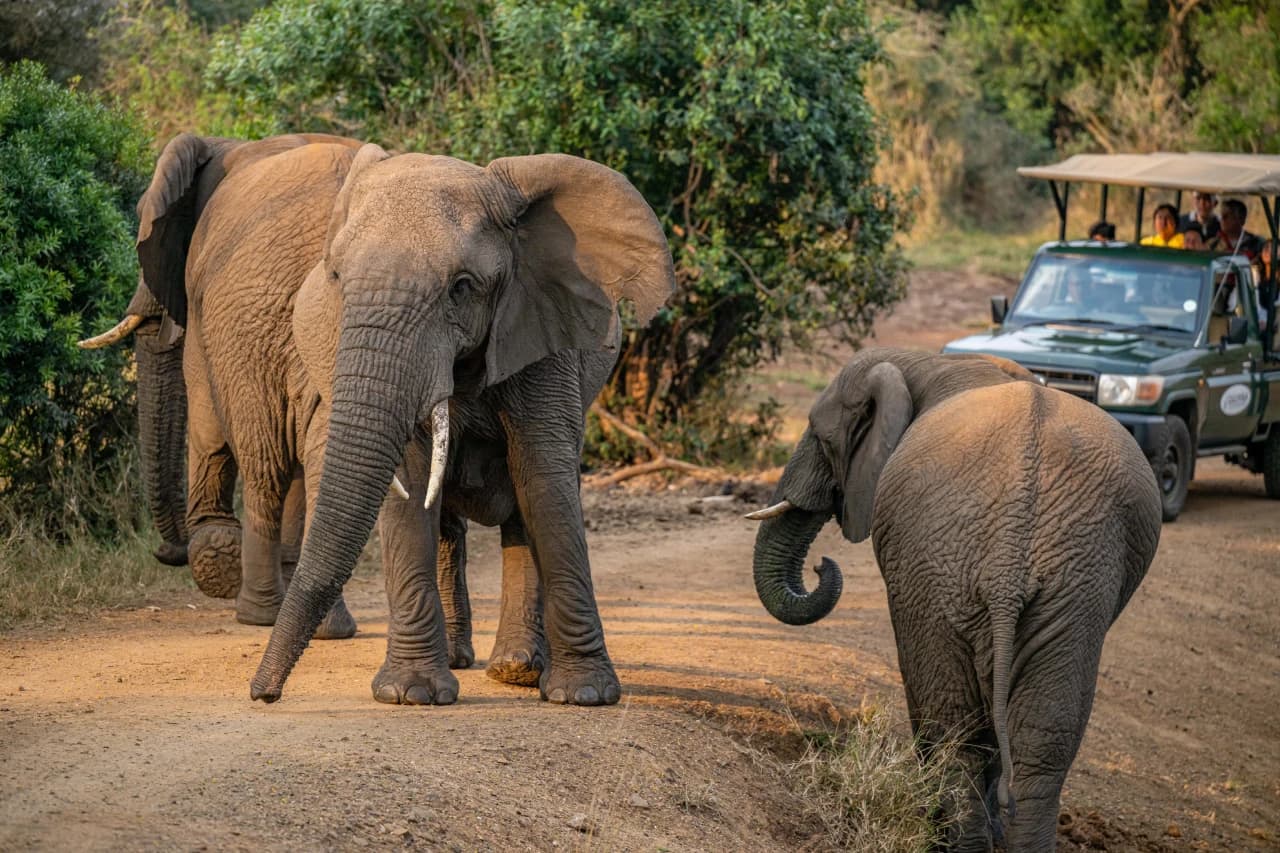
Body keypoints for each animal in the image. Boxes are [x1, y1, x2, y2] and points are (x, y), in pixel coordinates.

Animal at [747, 349, 1161, 850]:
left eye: (823, 439)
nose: (821, 565)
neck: (923, 362)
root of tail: (1009, 554)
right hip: (1070, 583)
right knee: (1038, 739)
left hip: (944, 564)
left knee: (952, 724)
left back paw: (947, 838)